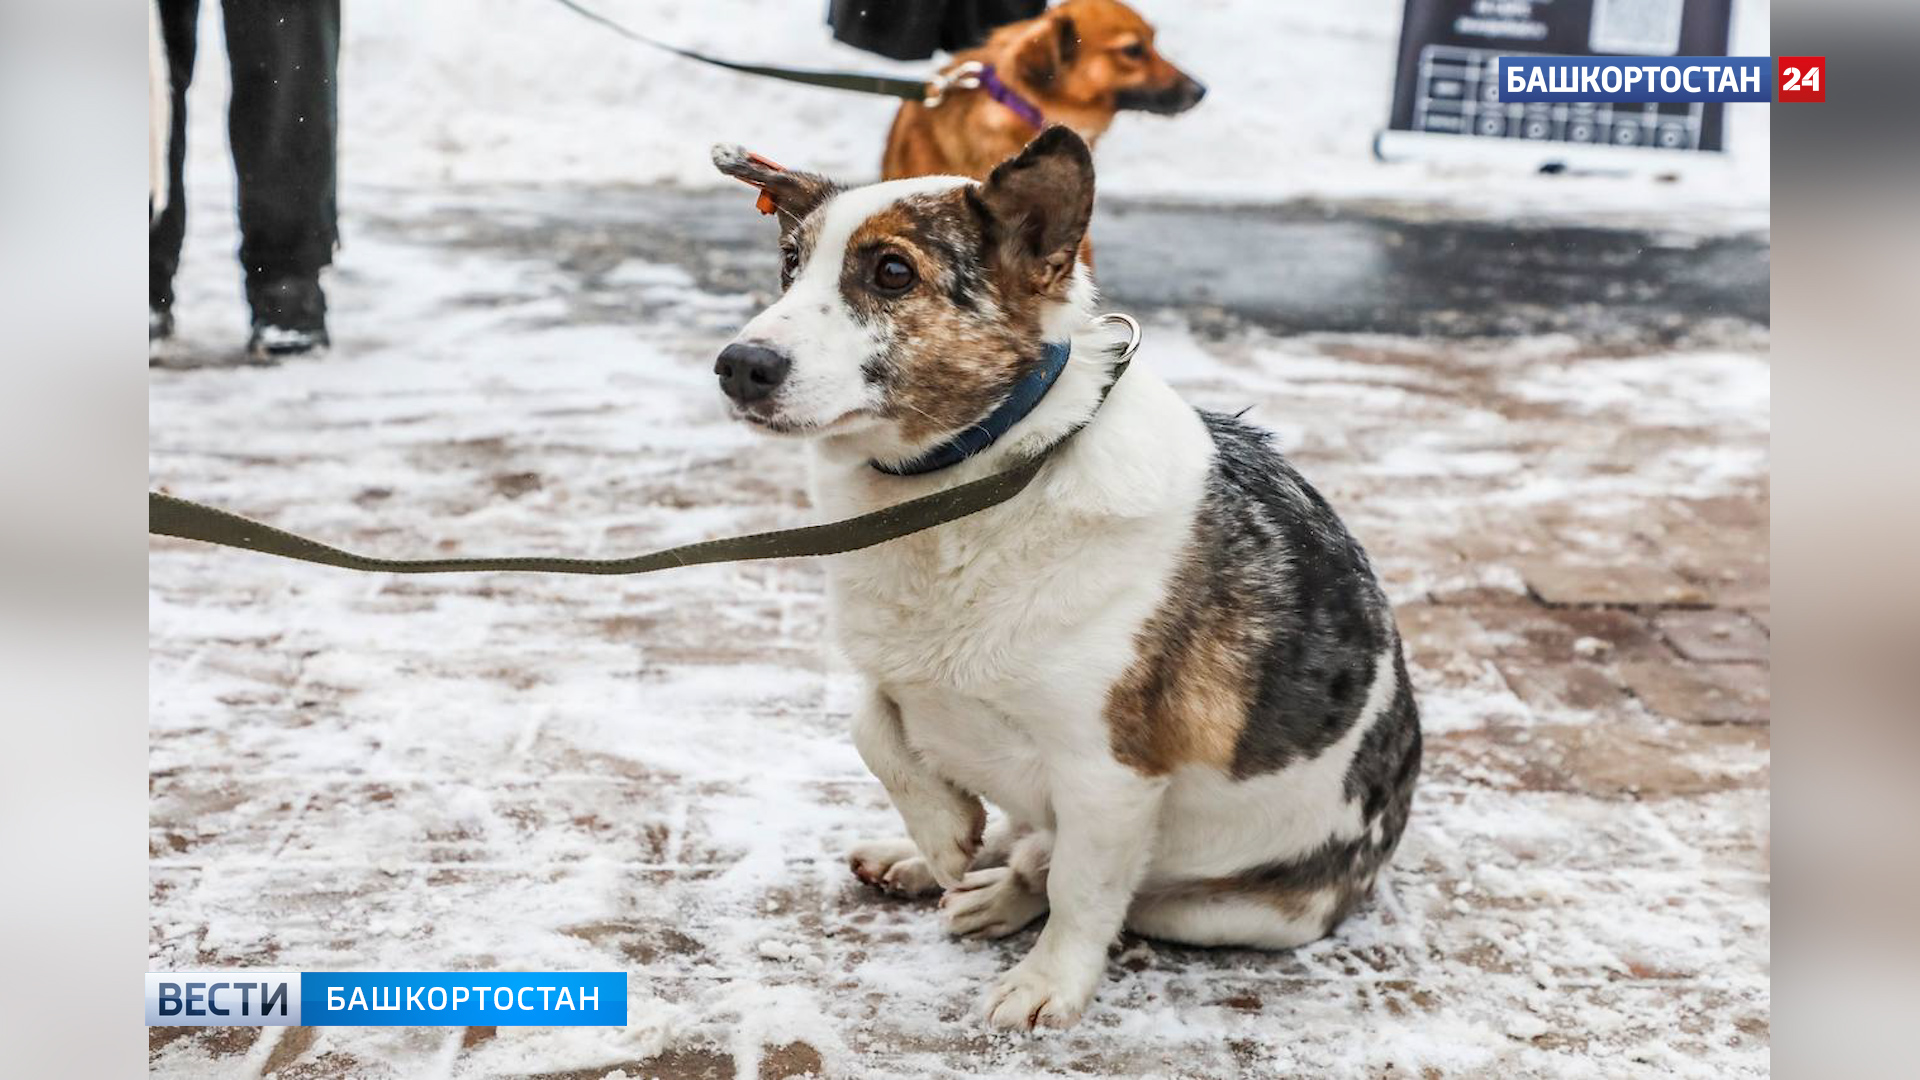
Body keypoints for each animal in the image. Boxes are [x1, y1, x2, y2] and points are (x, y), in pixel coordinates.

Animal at [714, 125, 1420, 1022]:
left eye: (893, 273)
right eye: (790, 263)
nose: (738, 365)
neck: (975, 479)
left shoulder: (1109, 773)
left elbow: (1081, 893)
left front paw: (1048, 981)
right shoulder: (898, 669)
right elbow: (870, 724)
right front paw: (940, 830)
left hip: (1227, 909)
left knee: (1069, 873)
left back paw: (995, 889)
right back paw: (923, 862)